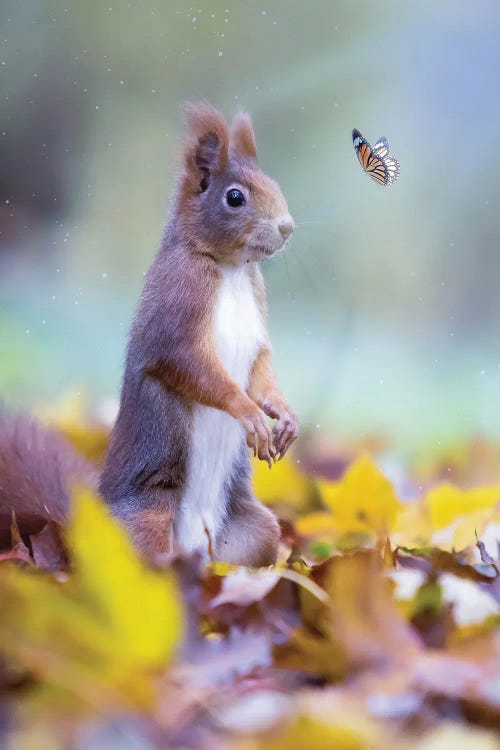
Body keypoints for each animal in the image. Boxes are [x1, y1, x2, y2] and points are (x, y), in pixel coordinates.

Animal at [0, 103, 296, 568]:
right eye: (235, 197)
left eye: (275, 184)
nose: (287, 226)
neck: (230, 269)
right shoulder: (177, 308)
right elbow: (190, 367)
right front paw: (248, 413)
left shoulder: (257, 323)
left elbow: (263, 368)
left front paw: (283, 414)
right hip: (146, 524)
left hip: (255, 533)